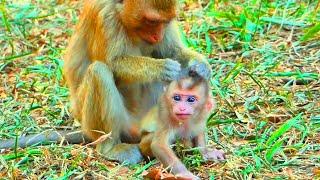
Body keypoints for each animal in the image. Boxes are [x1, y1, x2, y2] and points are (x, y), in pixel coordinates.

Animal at [63, 0, 211, 164]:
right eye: (152, 21)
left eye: (165, 22)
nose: (158, 36)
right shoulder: (103, 16)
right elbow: (113, 63)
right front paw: (161, 67)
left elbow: (173, 51)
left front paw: (201, 66)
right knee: (99, 71)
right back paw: (109, 147)